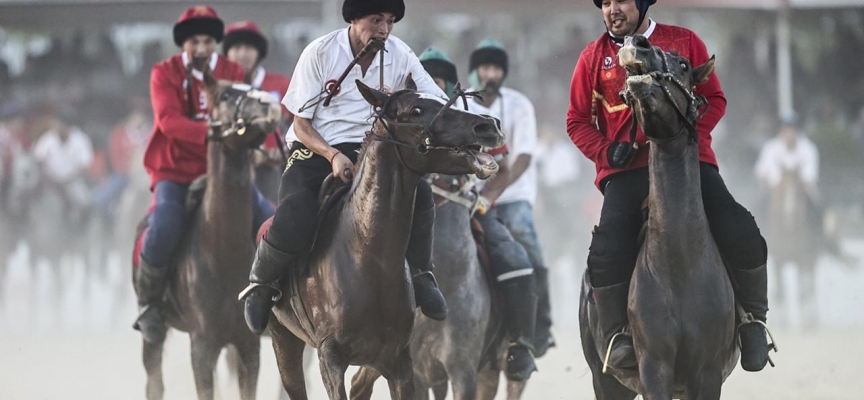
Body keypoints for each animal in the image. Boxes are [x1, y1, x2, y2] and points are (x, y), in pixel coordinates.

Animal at [266, 76, 502, 400]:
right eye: (416, 110)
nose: (488, 125)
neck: (367, 256)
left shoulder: (399, 360)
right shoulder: (331, 358)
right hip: (284, 339)